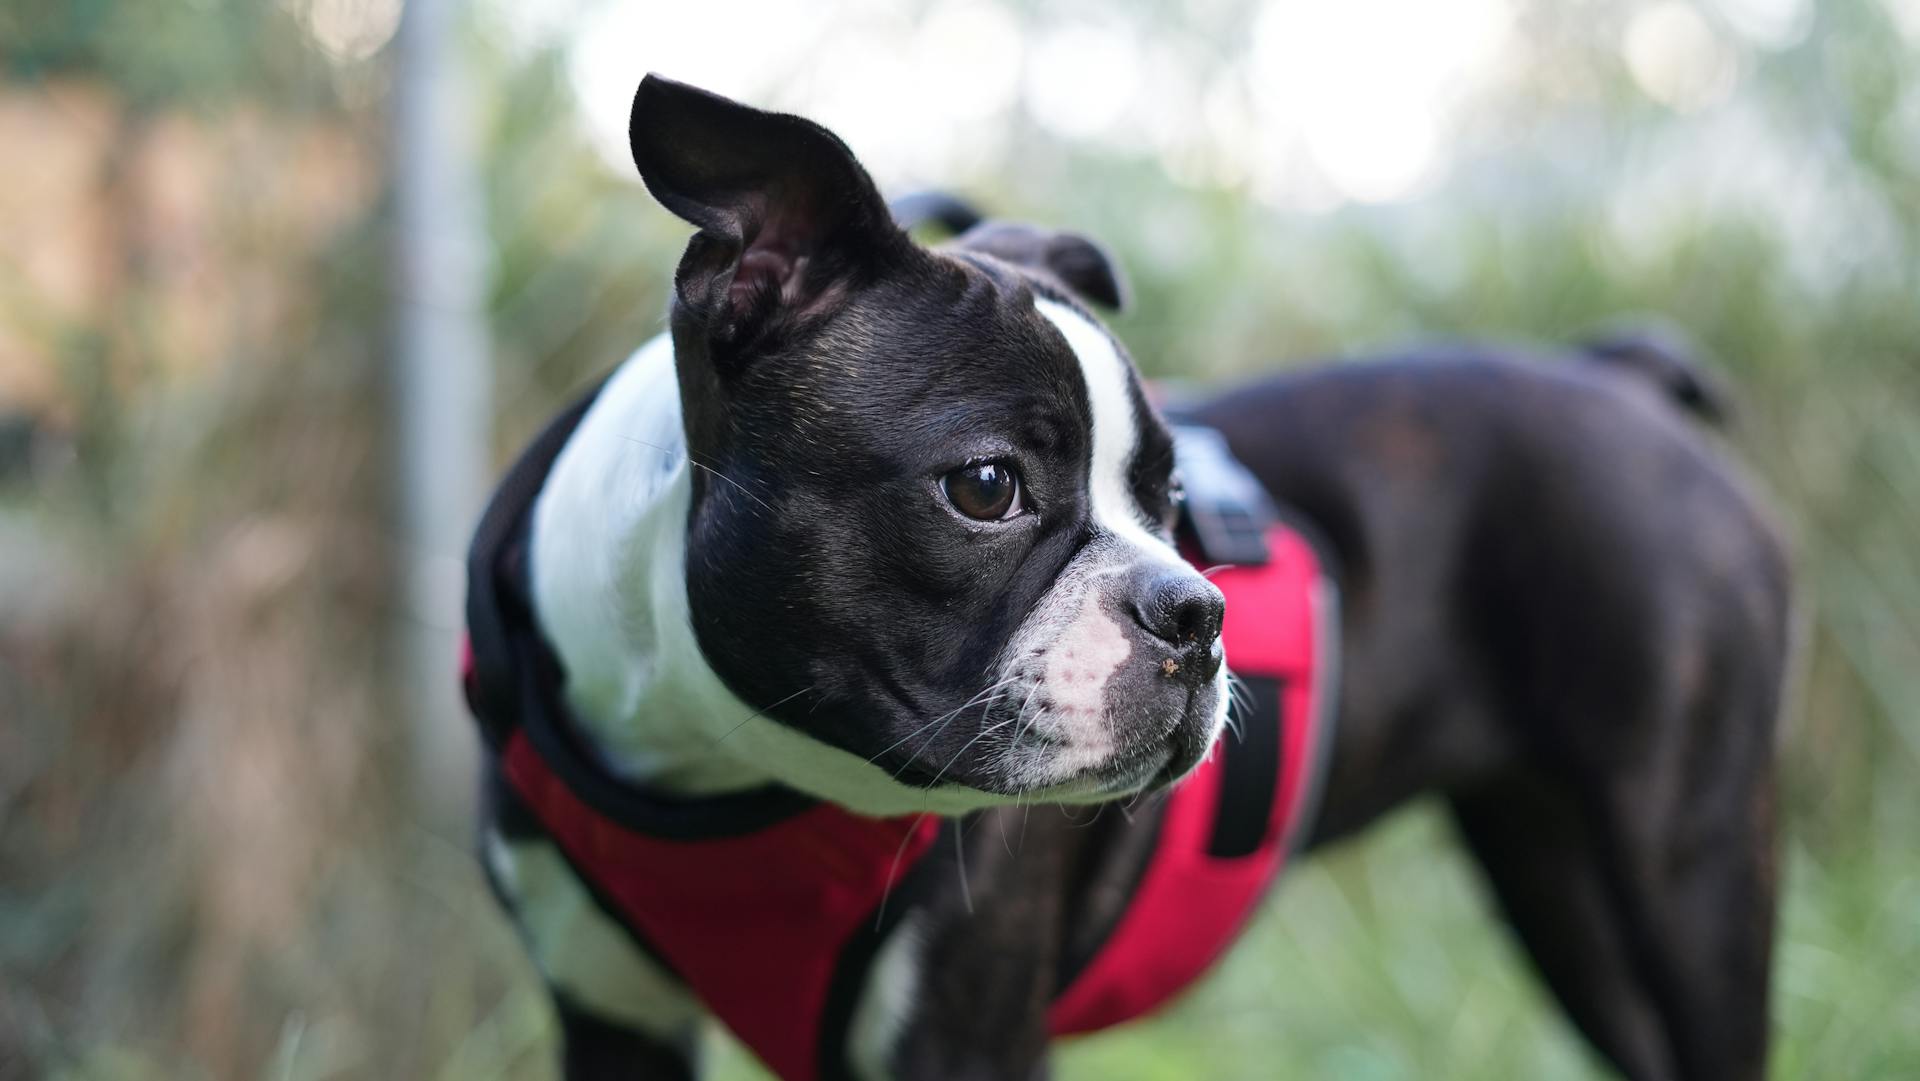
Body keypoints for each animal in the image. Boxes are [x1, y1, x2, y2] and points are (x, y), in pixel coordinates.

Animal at [468, 76, 1797, 1081]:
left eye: (1169, 496)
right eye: (986, 486)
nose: (1197, 612)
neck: (723, 769)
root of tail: (1625, 382)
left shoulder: (963, 1037)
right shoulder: (612, 1022)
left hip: (1688, 871)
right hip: (1561, 881)